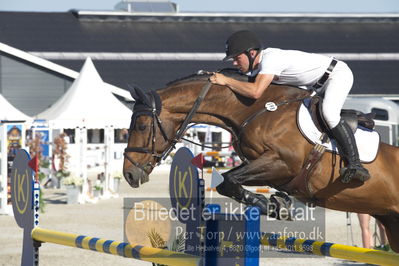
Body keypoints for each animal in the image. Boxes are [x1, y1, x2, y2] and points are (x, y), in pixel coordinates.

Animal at [122, 69, 399, 251]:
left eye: (142, 125)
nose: (129, 174)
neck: (253, 109)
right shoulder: (262, 165)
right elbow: (228, 182)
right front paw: (276, 204)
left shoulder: (283, 164)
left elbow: (229, 181)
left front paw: (274, 205)